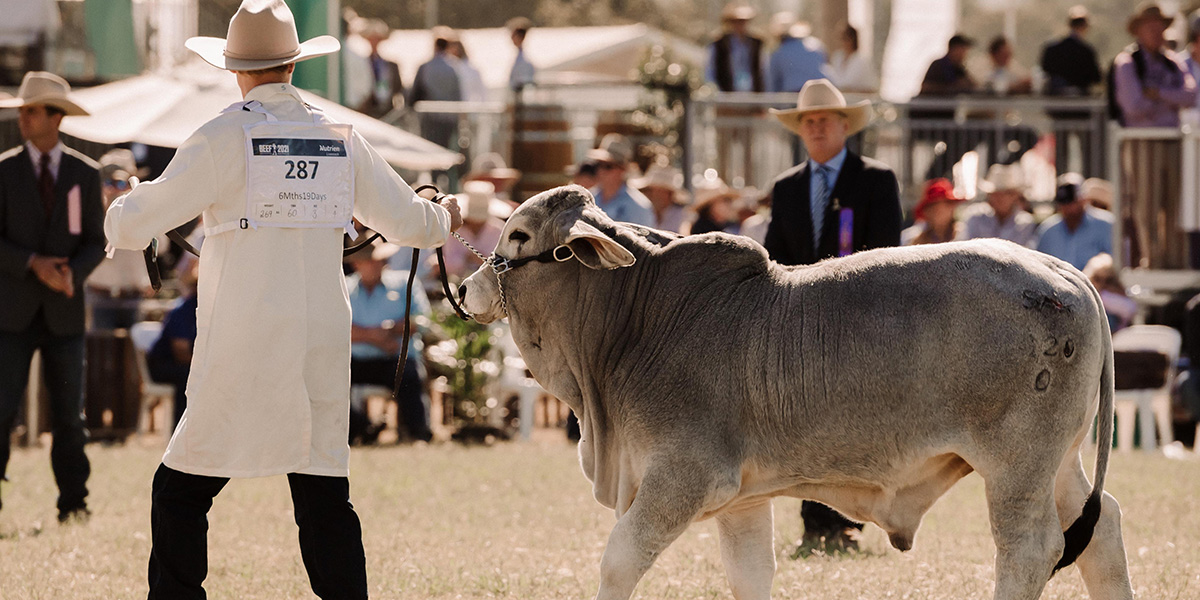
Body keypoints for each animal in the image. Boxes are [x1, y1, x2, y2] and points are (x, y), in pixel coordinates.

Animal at [458, 184, 1132, 597]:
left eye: (518, 236)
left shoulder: (681, 477)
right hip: (1060, 463)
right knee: (1100, 532)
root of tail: (1063, 272)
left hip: (1016, 466)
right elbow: (751, 576)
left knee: (1031, 549)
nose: (464, 289)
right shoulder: (742, 500)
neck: (635, 321)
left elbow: (618, 560)